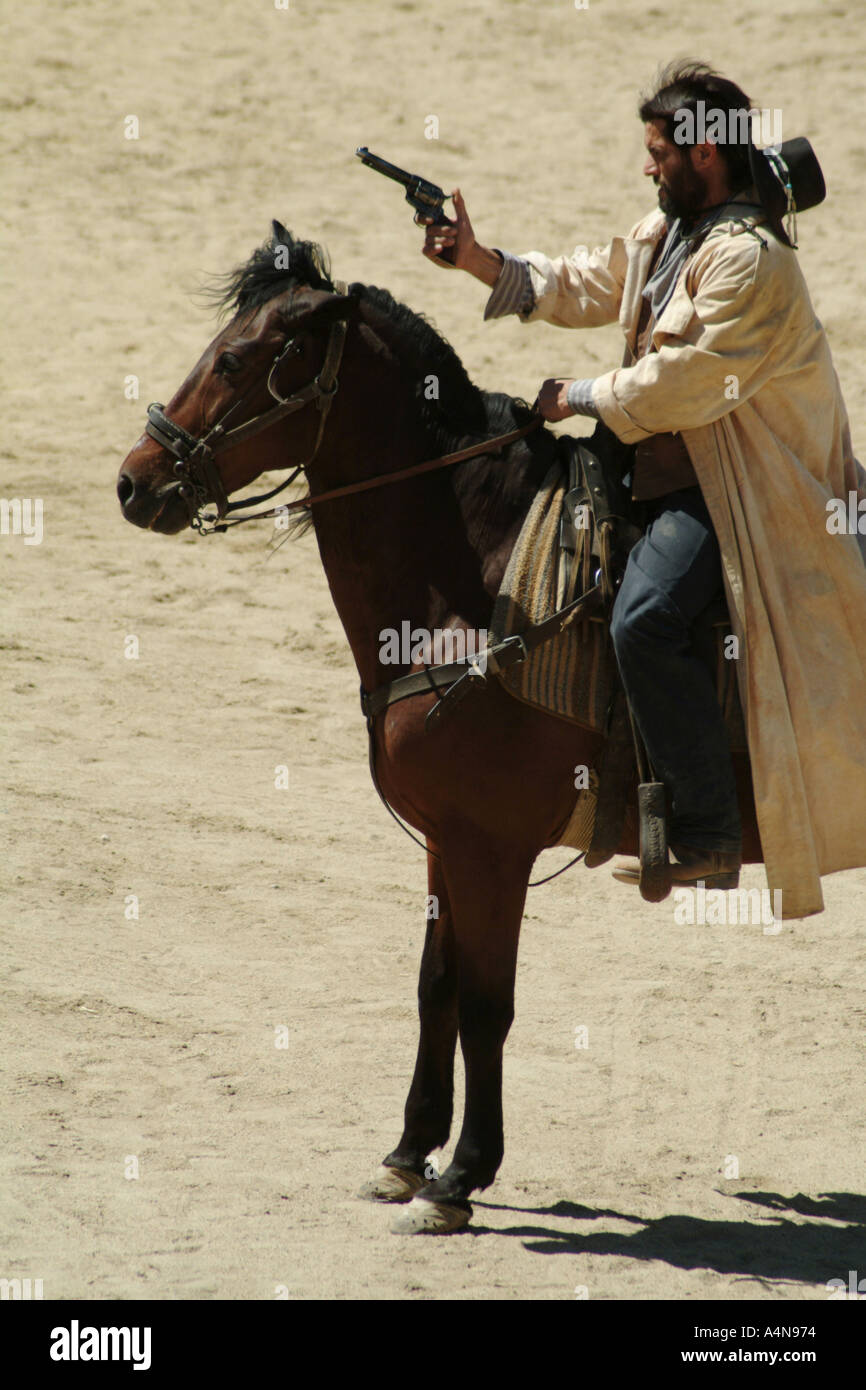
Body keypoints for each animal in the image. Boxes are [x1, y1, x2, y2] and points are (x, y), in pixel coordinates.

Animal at [120, 222, 756, 1234]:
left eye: (235, 361)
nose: (133, 482)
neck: (480, 584)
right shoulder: (444, 843)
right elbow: (437, 990)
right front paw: (406, 1154)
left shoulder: (492, 849)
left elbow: (488, 1003)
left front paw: (462, 1176)